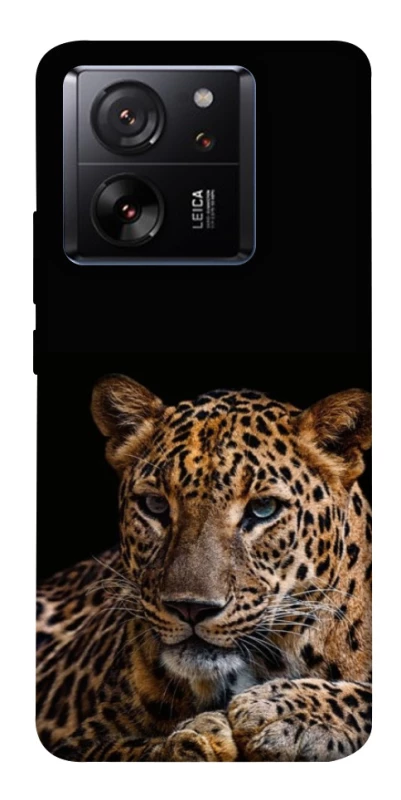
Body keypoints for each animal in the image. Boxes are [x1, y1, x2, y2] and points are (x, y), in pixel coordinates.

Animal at [37, 374, 372, 761]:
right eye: (154, 505)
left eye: (263, 509)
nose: (190, 608)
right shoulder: (82, 741)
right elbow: (131, 750)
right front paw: (197, 738)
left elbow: (365, 696)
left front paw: (283, 711)